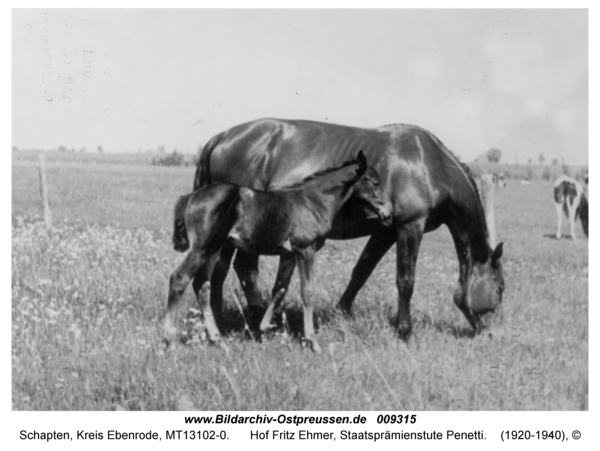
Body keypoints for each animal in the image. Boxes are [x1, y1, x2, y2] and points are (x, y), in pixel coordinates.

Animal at [162, 152, 392, 354]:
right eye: (375, 183)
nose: (389, 212)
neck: (313, 202)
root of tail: (191, 197)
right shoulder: (304, 249)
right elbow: (307, 292)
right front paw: (313, 342)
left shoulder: (288, 255)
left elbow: (280, 289)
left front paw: (262, 329)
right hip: (203, 247)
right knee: (179, 278)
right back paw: (170, 341)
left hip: (213, 249)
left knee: (201, 286)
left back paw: (219, 342)